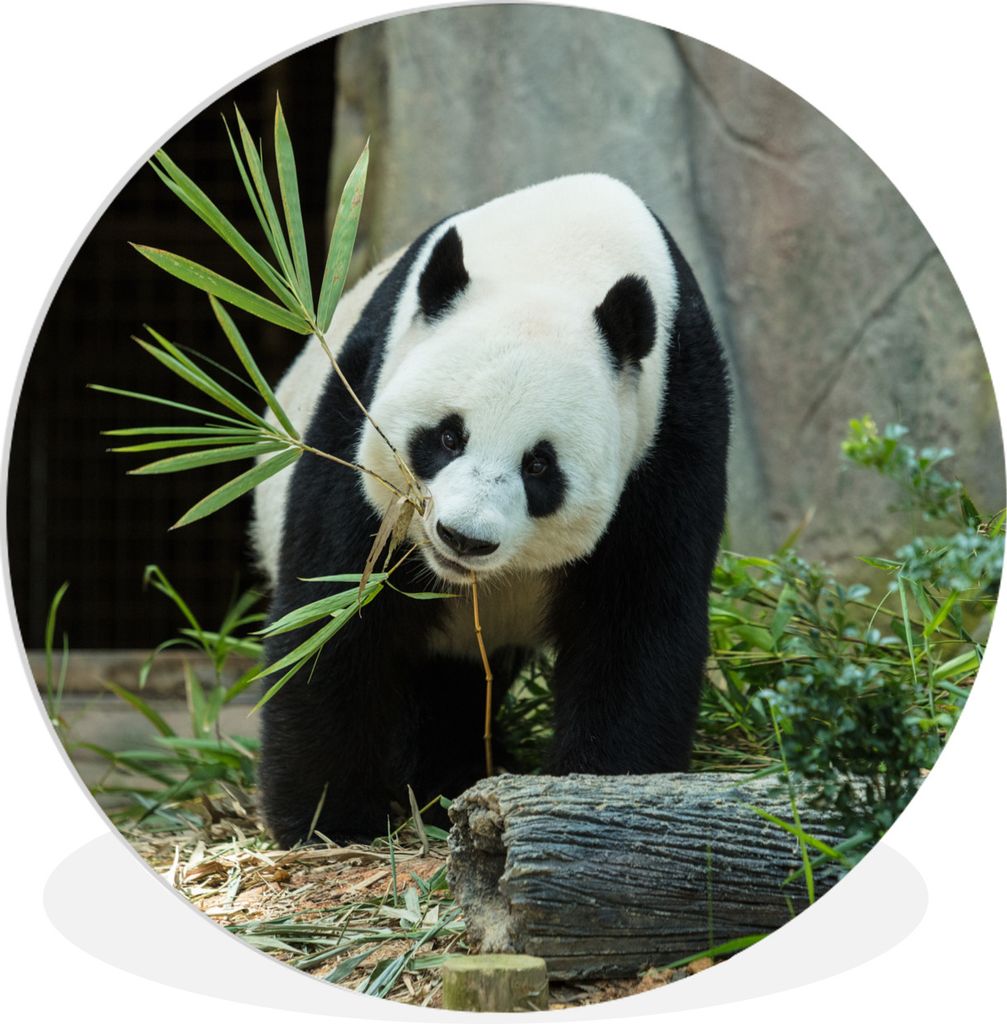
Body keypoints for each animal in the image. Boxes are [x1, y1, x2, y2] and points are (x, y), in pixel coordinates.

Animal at [252, 173, 730, 847]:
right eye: (448, 436)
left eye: (540, 466)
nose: (463, 538)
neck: (560, 253)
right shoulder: (361, 401)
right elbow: (336, 612)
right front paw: (330, 820)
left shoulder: (671, 429)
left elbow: (636, 623)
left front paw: (605, 795)